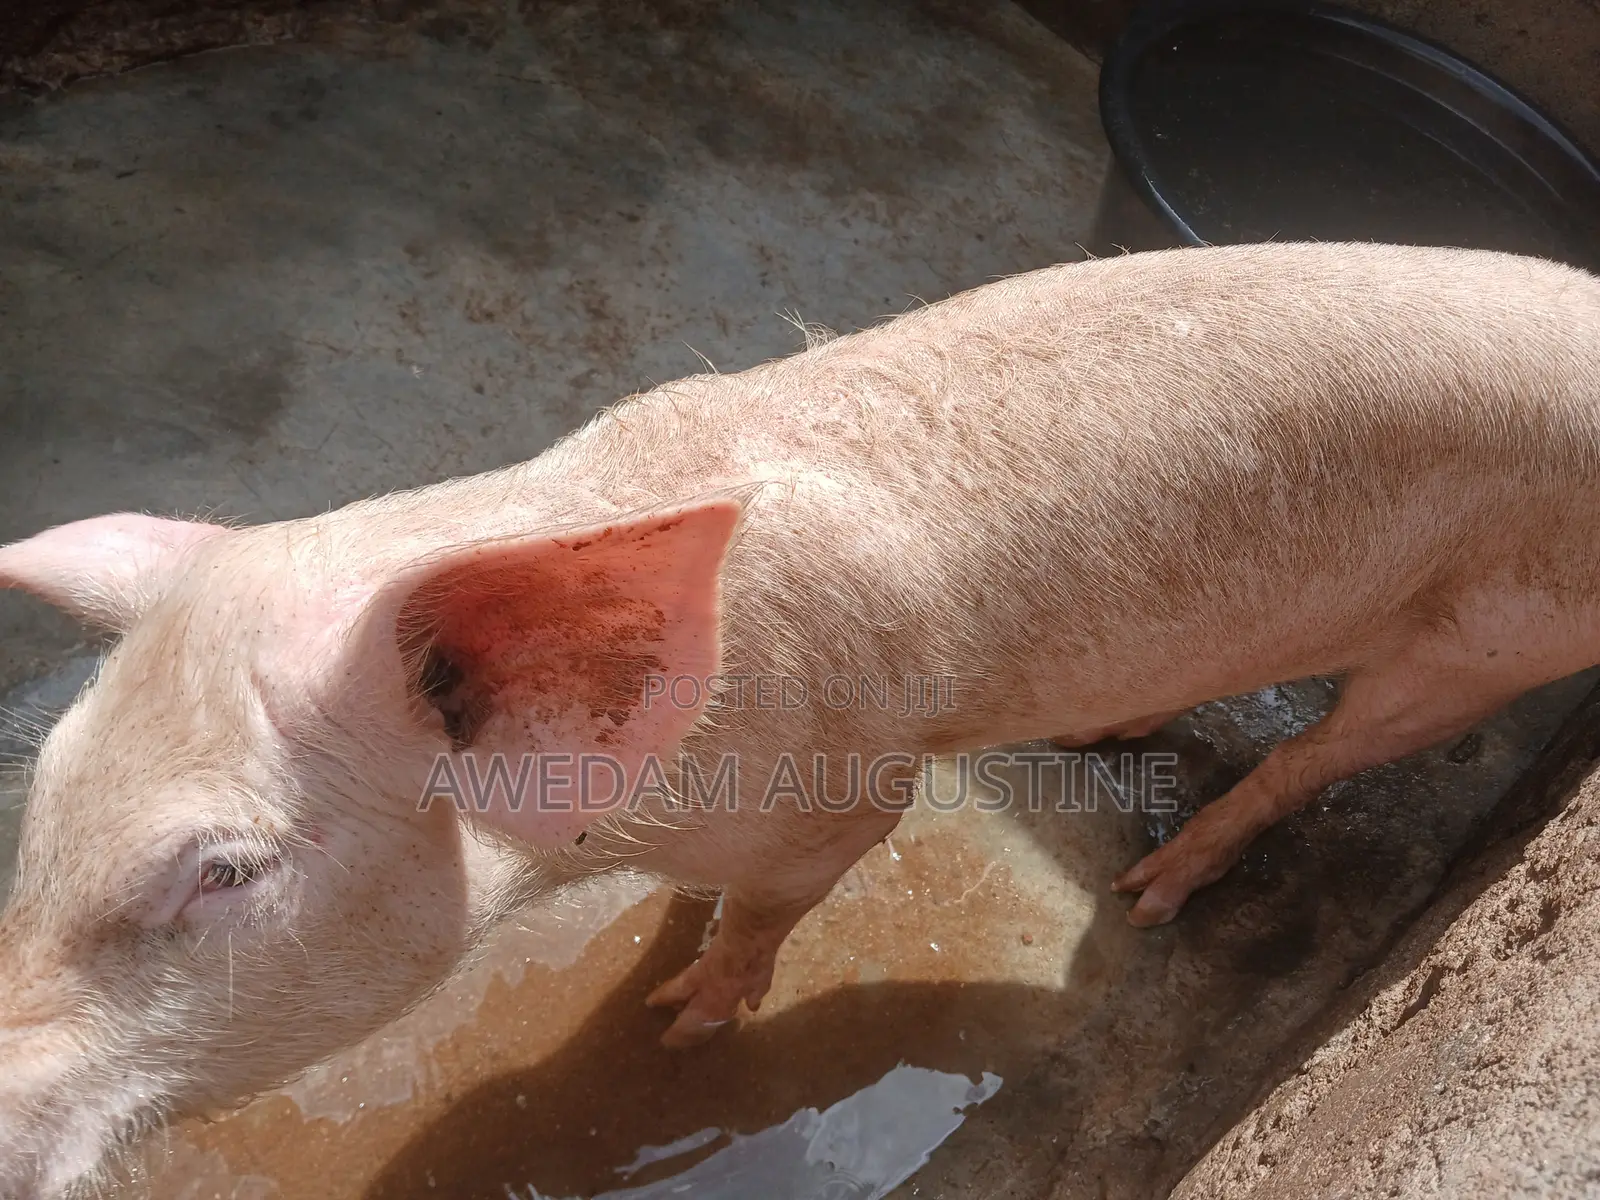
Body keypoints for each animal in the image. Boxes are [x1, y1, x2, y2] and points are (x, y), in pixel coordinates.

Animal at [2, 240, 1599, 1197]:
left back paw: (1155, 890)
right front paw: (667, 947)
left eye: (222, 873)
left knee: (1322, 757)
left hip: (1489, 647)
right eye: (49, 792)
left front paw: (676, 1021)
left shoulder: (852, 797)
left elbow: (766, 922)